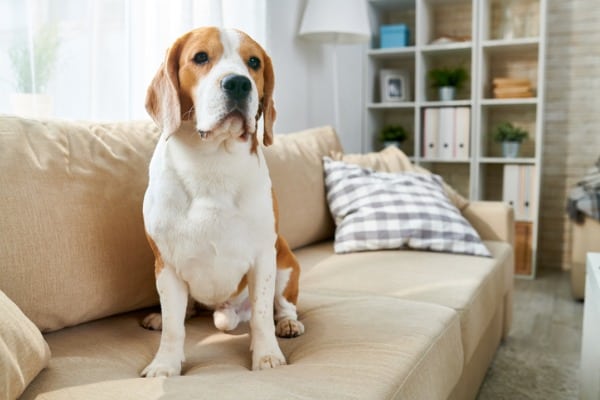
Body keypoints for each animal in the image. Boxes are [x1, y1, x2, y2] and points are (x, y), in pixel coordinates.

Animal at [141, 26, 304, 376]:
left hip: (285, 262)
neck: (211, 163)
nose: (239, 83)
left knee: (282, 306)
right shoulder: (166, 265)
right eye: (200, 57)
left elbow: (261, 316)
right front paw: (165, 363)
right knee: (184, 314)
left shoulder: (263, 258)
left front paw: (266, 355)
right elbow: (174, 328)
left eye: (254, 62)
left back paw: (287, 323)